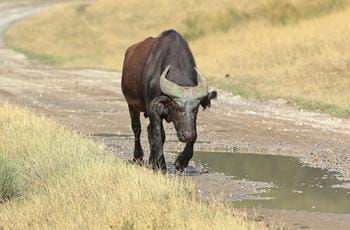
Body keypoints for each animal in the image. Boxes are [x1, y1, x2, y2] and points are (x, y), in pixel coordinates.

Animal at [122, 29, 216, 172]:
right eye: (177, 107)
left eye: (196, 109)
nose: (187, 135)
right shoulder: (154, 110)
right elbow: (160, 135)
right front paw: (161, 164)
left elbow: (195, 135)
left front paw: (181, 161)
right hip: (131, 105)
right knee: (137, 129)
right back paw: (138, 157)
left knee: (149, 131)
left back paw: (151, 160)